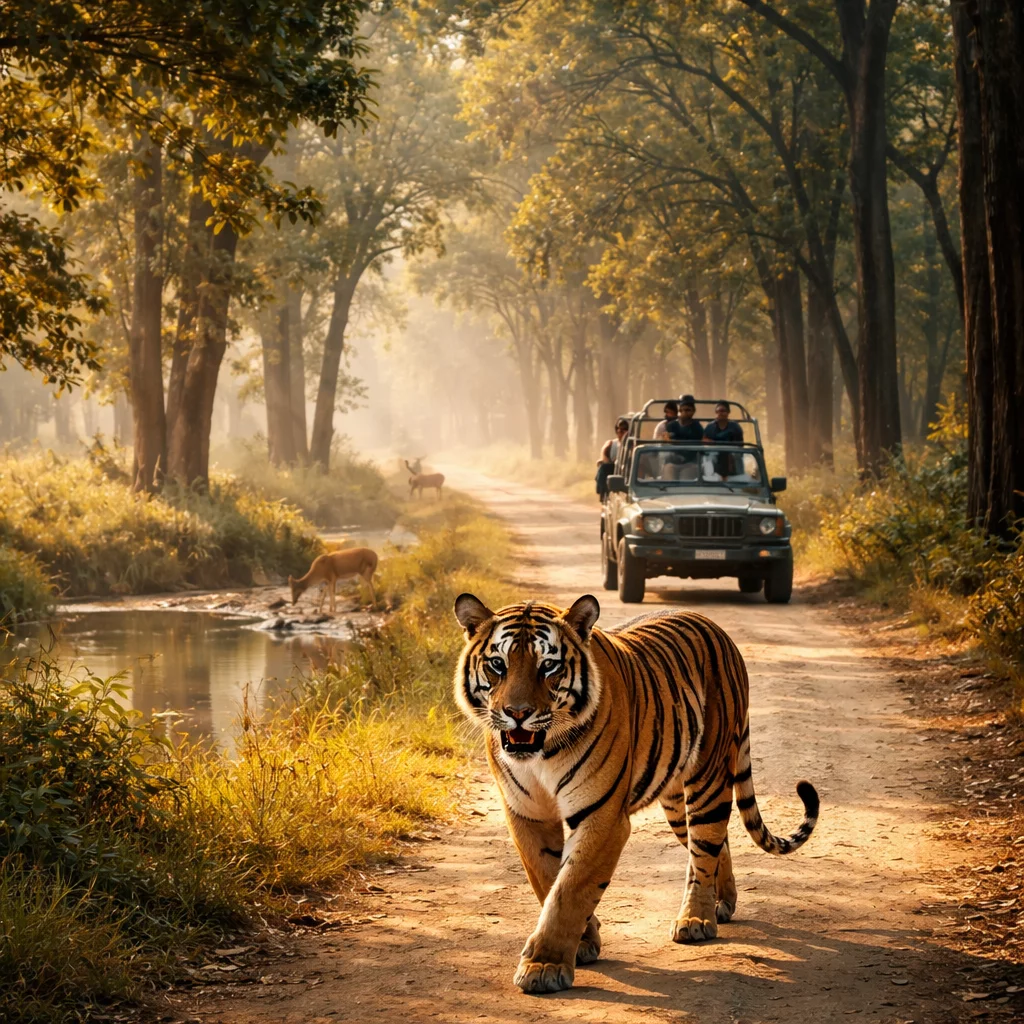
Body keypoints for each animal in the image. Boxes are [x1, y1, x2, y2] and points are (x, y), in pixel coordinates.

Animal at [453, 592, 819, 995]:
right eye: (497, 665)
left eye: (548, 666)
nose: (517, 713)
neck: (542, 752)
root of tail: (718, 628)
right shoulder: (526, 814)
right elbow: (547, 879)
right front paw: (583, 942)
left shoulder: (602, 816)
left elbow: (570, 889)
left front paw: (544, 966)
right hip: (675, 801)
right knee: (714, 844)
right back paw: (721, 902)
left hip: (707, 779)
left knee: (706, 844)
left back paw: (696, 920)